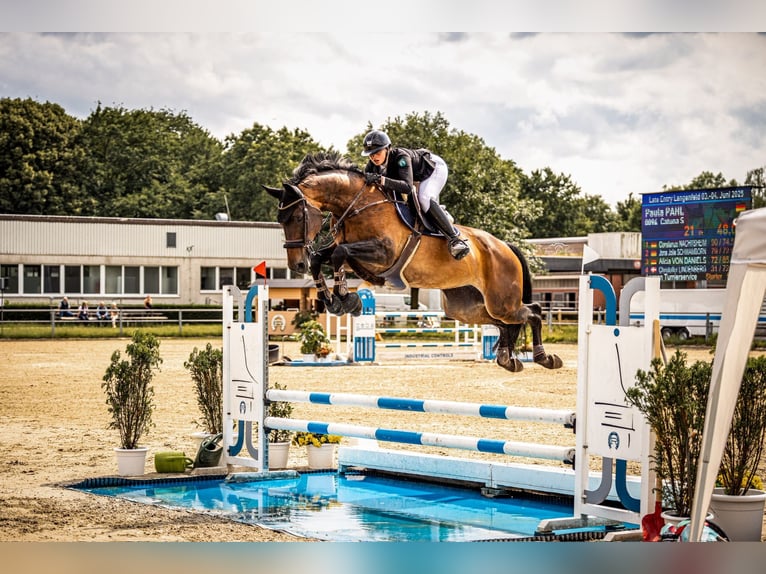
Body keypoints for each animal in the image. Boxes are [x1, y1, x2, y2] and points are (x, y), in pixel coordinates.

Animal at [264, 152, 562, 373]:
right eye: (280, 220)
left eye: (298, 217)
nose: (296, 265)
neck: (359, 206)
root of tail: (505, 246)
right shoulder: (356, 256)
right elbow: (322, 257)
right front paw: (334, 300)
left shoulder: (383, 254)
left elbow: (338, 255)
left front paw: (346, 300)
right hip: (466, 307)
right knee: (505, 322)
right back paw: (507, 359)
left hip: (501, 300)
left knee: (532, 311)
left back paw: (544, 358)